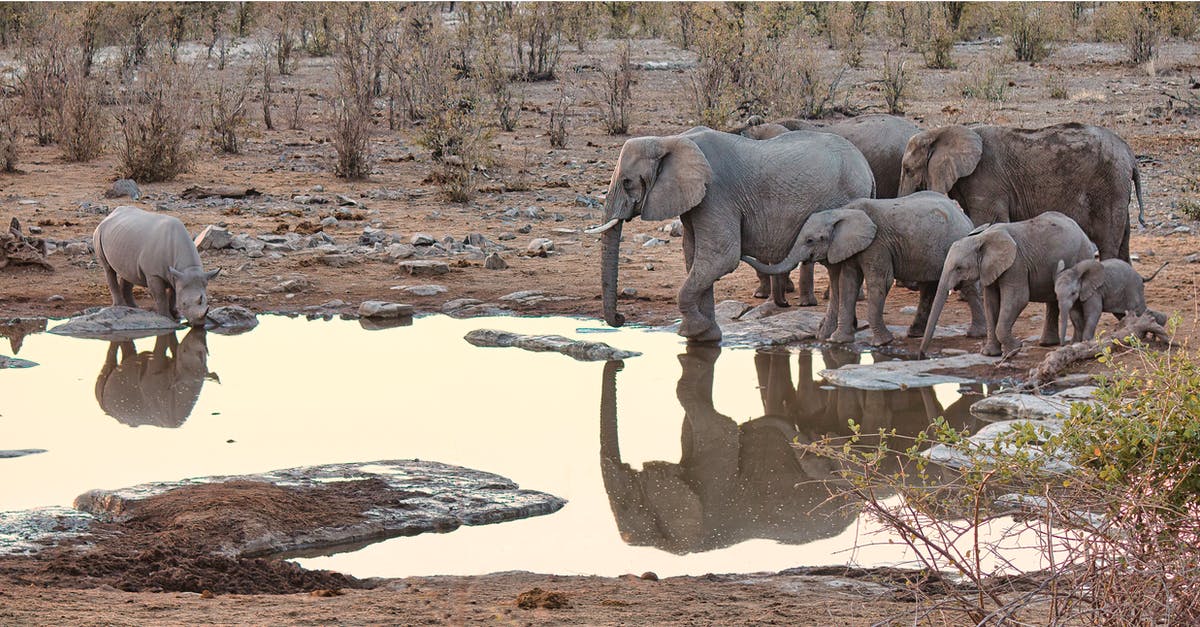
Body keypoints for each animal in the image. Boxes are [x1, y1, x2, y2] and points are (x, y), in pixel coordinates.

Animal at [590, 126, 873, 338]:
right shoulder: (698, 199)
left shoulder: (716, 194)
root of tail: (867, 168)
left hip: (844, 202)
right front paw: (706, 336)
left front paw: (696, 330)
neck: (670, 140)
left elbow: (720, 257)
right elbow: (694, 256)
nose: (621, 317)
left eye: (627, 182)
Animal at [739, 190, 984, 345]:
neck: (842, 212)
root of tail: (964, 216)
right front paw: (838, 340)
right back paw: (915, 334)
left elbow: (879, 281)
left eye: (810, 240)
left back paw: (975, 334)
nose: (741, 252)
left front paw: (881, 343)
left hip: (956, 243)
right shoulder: (851, 247)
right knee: (929, 287)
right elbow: (848, 282)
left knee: (965, 284)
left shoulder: (877, 244)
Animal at [902, 121, 1142, 260]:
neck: (943, 131)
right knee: (1123, 239)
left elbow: (986, 221)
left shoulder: (986, 182)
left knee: (1108, 241)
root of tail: (1130, 155)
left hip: (1109, 186)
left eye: (907, 169)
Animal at [921, 211, 1099, 353]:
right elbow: (991, 302)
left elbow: (1018, 299)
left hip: (1081, 257)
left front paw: (1015, 349)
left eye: (959, 268)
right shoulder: (990, 269)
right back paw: (1047, 344)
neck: (981, 238)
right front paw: (990, 353)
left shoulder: (1016, 264)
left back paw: (1071, 343)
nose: (922, 355)